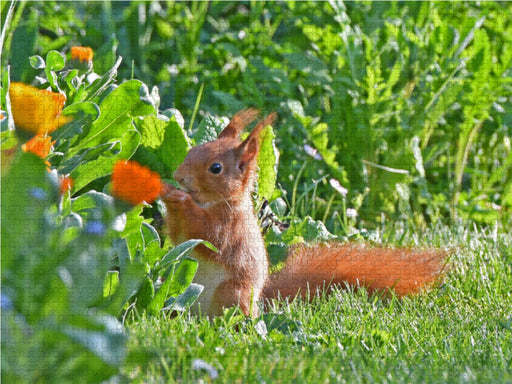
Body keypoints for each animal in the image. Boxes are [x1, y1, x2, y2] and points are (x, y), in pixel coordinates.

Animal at [162, 109, 446, 316]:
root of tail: (260, 303)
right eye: (191, 150)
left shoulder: (232, 229)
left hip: (232, 293)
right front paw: (169, 195)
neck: (215, 204)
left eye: (216, 168)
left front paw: (180, 200)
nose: (178, 176)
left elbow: (210, 238)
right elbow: (180, 237)